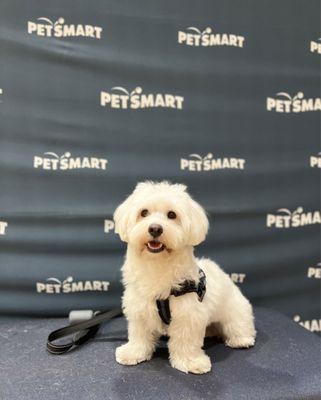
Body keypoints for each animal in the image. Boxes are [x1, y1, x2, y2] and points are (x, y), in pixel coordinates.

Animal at [112, 182, 255, 376]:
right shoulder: (140, 308)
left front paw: (190, 362)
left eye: (172, 215)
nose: (155, 228)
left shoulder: (188, 313)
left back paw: (242, 339)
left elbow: (185, 340)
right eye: (144, 212)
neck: (158, 266)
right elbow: (139, 334)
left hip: (235, 310)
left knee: (239, 324)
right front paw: (133, 352)